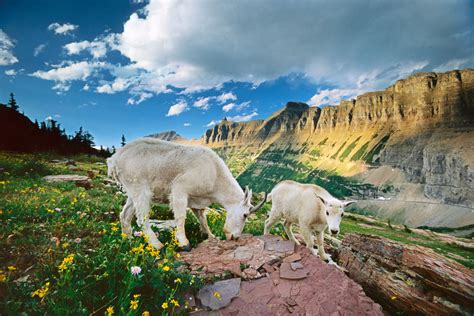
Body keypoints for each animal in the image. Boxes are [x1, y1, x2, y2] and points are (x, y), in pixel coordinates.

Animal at [106, 138, 266, 249]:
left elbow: (202, 219)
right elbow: (181, 217)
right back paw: (157, 245)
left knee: (125, 215)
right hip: (140, 188)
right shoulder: (180, 188)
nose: (235, 237)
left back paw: (128, 240)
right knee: (141, 218)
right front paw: (184, 243)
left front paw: (211, 236)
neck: (215, 174)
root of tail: (114, 159)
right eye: (245, 215)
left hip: (131, 191)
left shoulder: (197, 200)